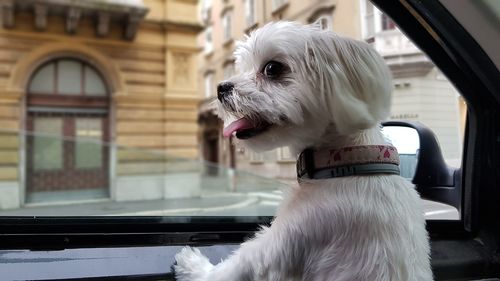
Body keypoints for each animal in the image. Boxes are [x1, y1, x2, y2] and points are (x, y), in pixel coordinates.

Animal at [174, 21, 432, 280]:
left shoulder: (289, 236)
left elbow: (234, 266)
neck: (346, 161)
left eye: (272, 68)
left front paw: (193, 263)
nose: (221, 88)